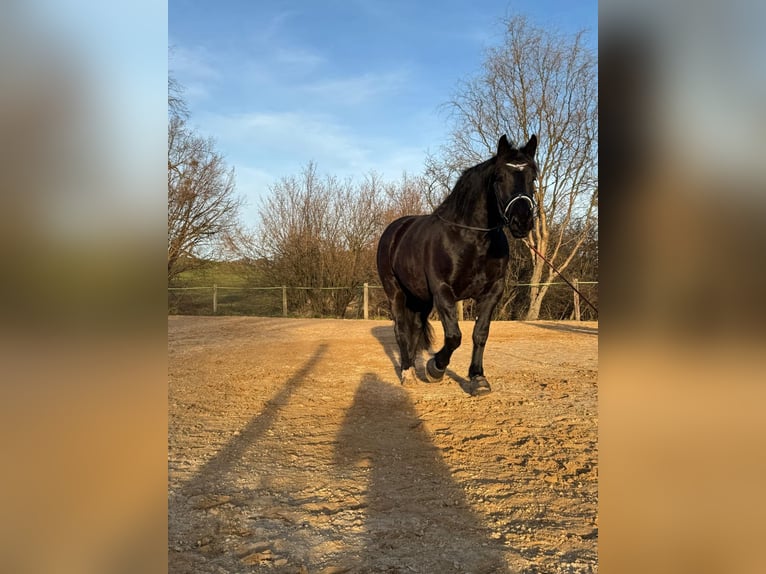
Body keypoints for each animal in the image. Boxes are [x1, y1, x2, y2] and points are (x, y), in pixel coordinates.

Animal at [378, 136, 540, 396]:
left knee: (415, 328)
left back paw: (412, 367)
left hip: (421, 298)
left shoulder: (492, 292)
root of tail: (395, 230)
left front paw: (478, 378)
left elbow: (480, 334)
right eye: (499, 177)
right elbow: (454, 336)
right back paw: (407, 373)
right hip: (395, 292)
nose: (522, 221)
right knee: (401, 330)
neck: (472, 239)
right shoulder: (443, 291)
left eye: (532, 177)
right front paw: (435, 369)